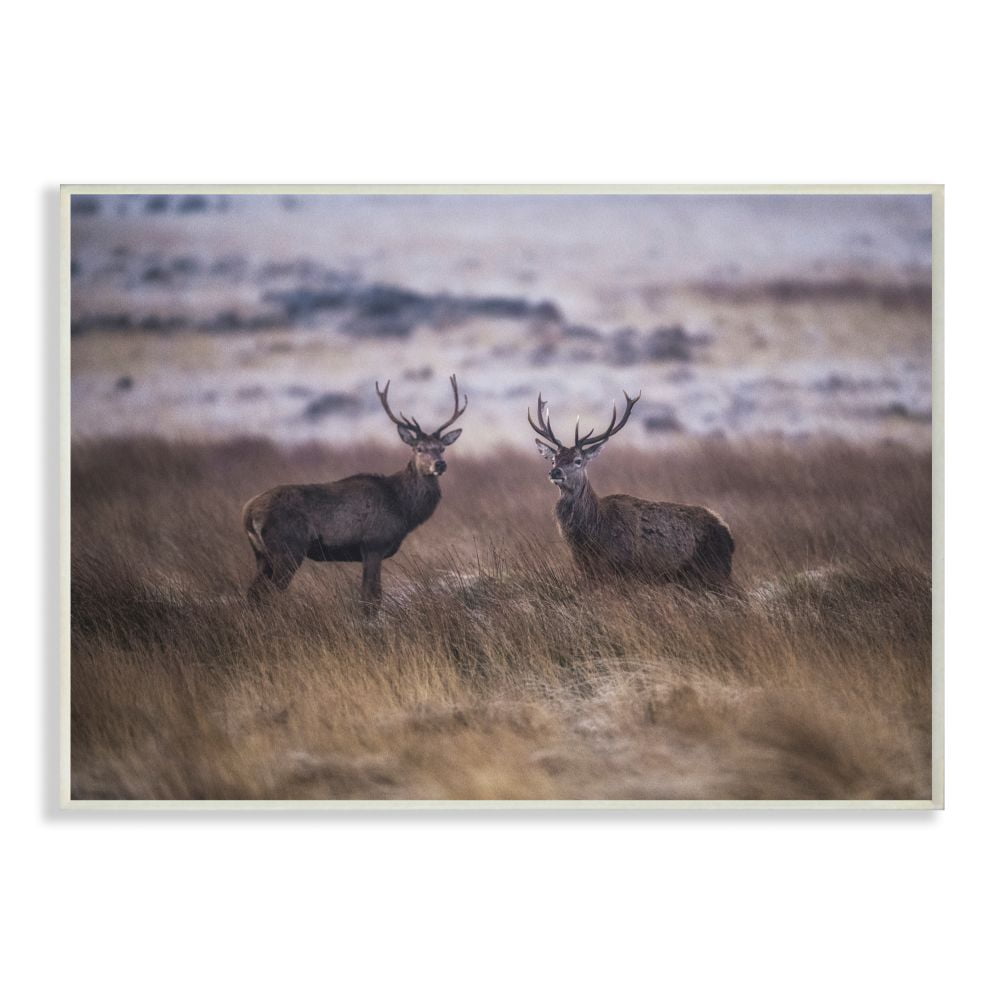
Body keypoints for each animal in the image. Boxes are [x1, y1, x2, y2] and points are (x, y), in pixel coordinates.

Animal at [242, 374, 467, 607]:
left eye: (442, 448)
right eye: (419, 448)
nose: (440, 464)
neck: (403, 509)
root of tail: (248, 513)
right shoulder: (374, 543)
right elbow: (371, 597)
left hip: (262, 554)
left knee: (253, 593)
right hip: (288, 548)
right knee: (268, 592)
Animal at [528, 390, 734, 589]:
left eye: (578, 461)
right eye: (554, 459)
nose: (555, 472)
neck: (592, 533)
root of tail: (728, 536)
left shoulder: (621, 566)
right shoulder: (587, 568)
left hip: (712, 571)